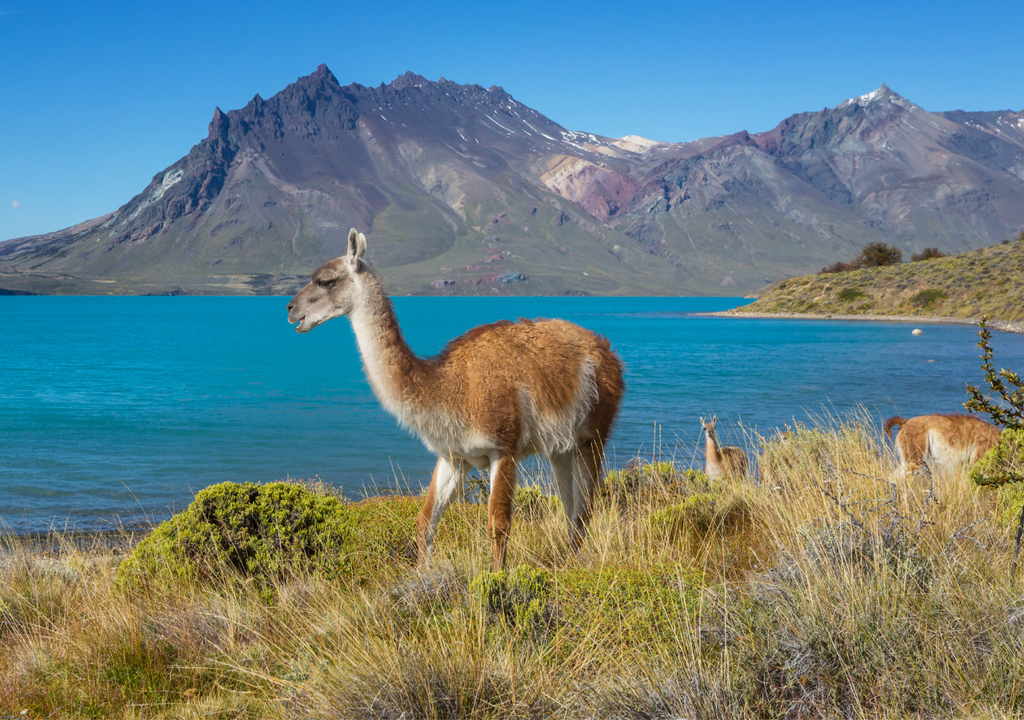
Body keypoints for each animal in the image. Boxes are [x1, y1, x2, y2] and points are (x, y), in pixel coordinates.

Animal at [287, 229, 625, 571]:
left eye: (326, 280)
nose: (290, 309)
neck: (449, 388)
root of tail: (605, 348)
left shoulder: (503, 447)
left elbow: (498, 525)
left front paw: (498, 578)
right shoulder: (454, 456)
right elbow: (425, 521)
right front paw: (422, 574)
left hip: (593, 435)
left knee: (584, 509)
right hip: (560, 448)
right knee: (571, 511)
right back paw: (566, 562)